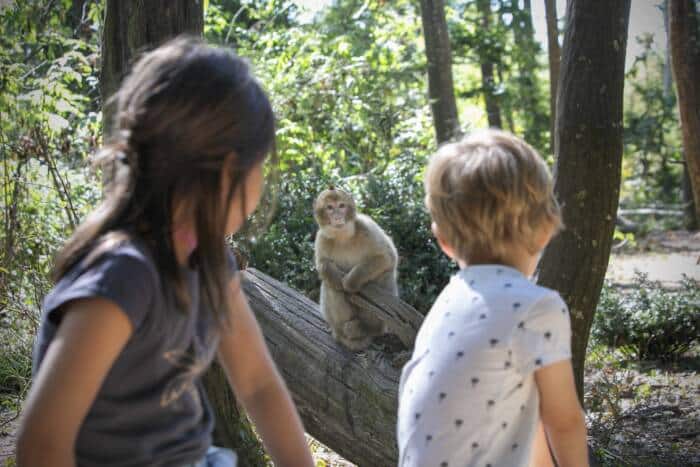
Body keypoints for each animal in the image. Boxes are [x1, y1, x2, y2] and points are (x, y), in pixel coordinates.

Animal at [314, 186, 400, 352]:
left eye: (341, 206)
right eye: (329, 208)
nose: (337, 216)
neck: (342, 236)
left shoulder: (366, 226)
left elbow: (387, 257)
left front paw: (350, 282)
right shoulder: (321, 237)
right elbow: (322, 265)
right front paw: (336, 278)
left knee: (382, 277)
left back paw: (366, 328)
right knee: (331, 287)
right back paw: (343, 333)